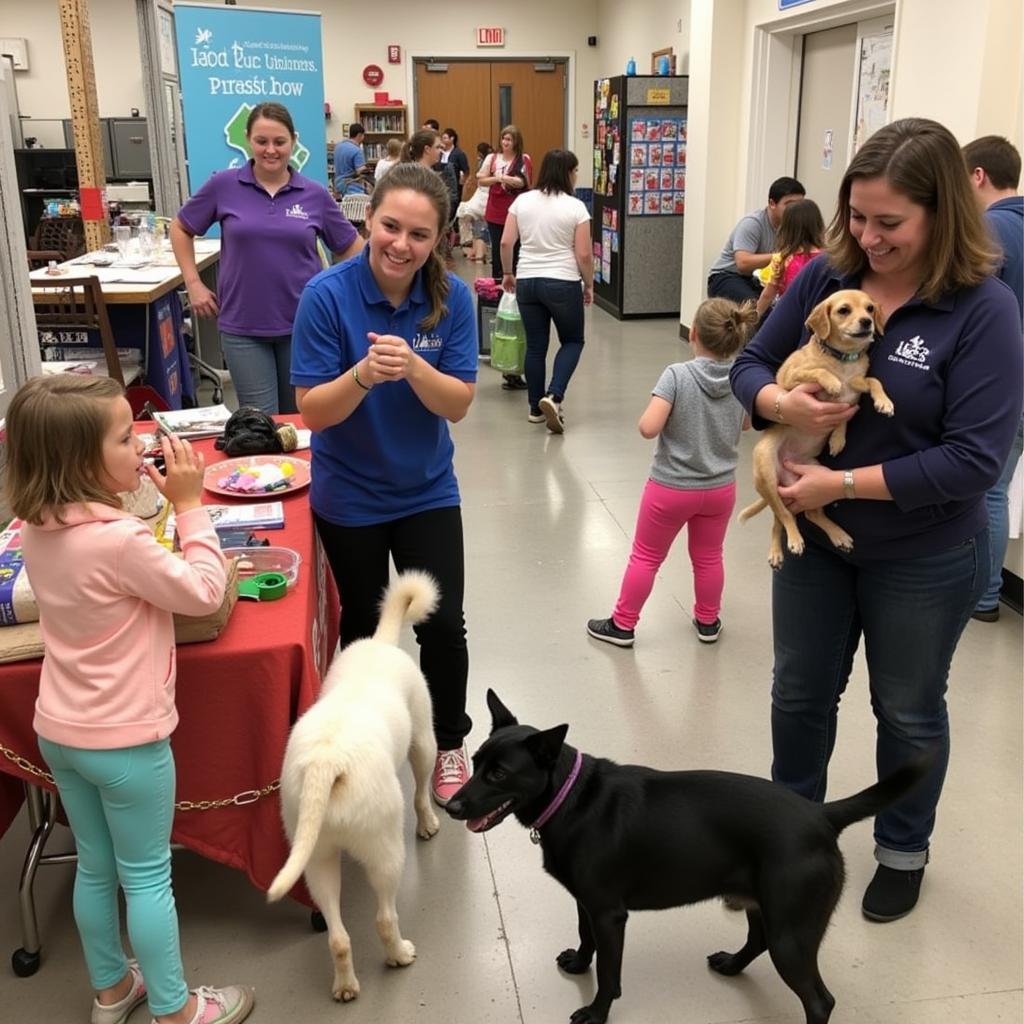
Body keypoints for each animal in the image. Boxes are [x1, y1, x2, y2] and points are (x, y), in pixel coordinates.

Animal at [268, 573, 440, 1003]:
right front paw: (428, 823)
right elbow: (421, 792)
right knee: (384, 918)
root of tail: (327, 763)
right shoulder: (423, 739)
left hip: (317, 860)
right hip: (386, 851)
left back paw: (345, 986)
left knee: (338, 937)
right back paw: (399, 954)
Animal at [448, 692, 929, 1019]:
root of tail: (821, 815)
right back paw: (733, 964)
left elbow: (609, 974)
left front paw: (597, 1012)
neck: (572, 797)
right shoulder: (587, 902)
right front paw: (580, 963)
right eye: (476, 761)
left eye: (499, 774)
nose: (451, 806)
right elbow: (587, 939)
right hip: (763, 905)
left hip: (792, 932)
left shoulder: (609, 914)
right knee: (758, 941)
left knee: (820, 1000)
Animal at [741, 288, 892, 569]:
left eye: (869, 308)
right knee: (784, 516)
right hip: (766, 469)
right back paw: (788, 544)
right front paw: (831, 382)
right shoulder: (790, 379)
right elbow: (818, 371)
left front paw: (881, 404)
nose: (867, 322)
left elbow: (873, 381)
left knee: (807, 514)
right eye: (844, 310)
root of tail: (785, 477)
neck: (844, 361)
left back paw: (837, 534)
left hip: (817, 477)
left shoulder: (857, 389)